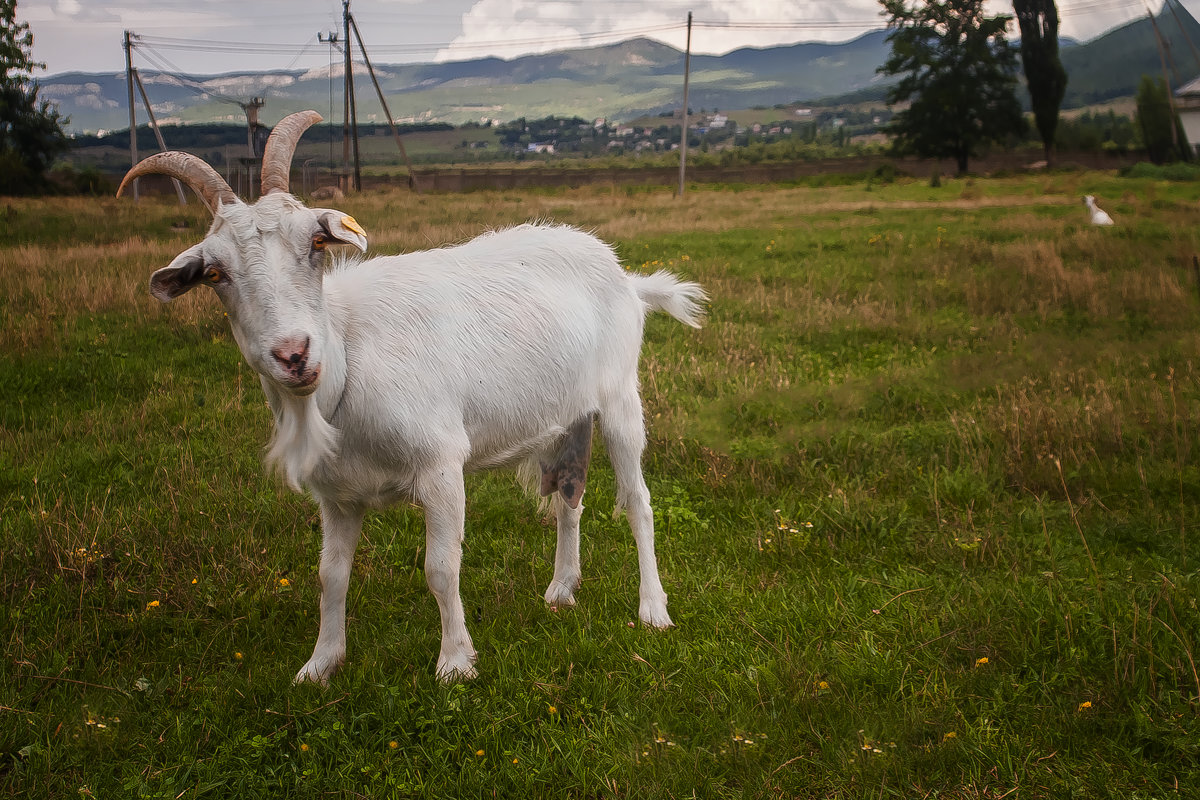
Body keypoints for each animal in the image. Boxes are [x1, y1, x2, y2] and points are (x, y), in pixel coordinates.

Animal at [120, 109, 700, 686]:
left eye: (314, 244)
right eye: (215, 273)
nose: (294, 354)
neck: (347, 359)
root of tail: (626, 277)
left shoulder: (441, 463)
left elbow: (440, 568)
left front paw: (455, 663)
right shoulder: (338, 495)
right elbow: (330, 575)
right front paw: (320, 663)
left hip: (620, 398)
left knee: (638, 501)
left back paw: (653, 609)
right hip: (566, 417)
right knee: (568, 494)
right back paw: (561, 589)